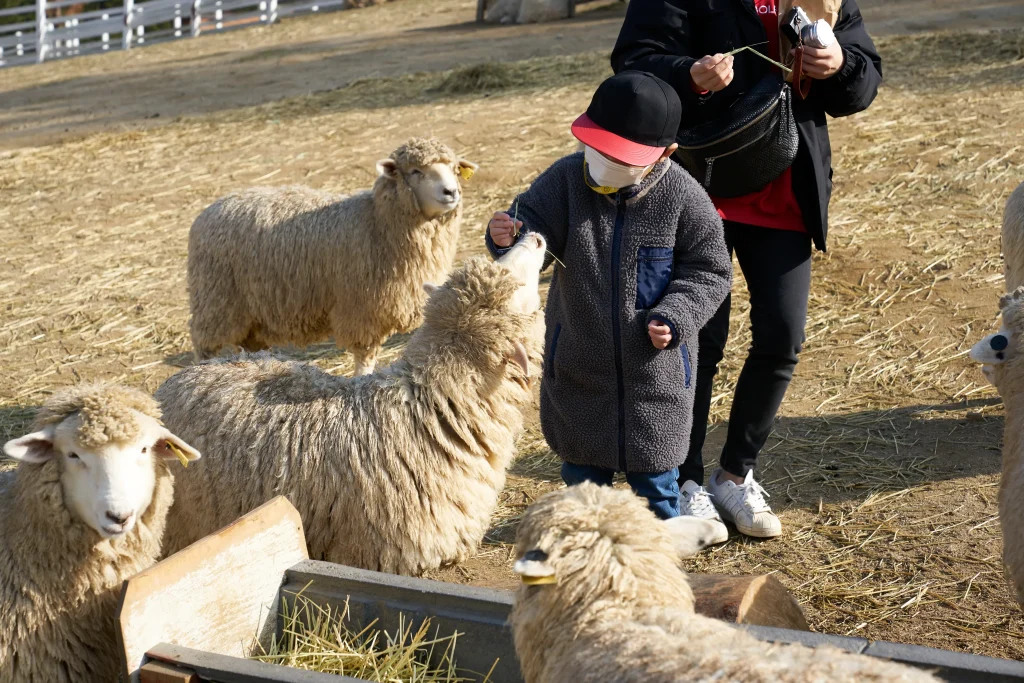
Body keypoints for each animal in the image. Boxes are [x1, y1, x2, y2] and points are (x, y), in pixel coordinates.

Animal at [185, 137, 479, 376]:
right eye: (416, 172)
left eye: (455, 170)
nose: (451, 192)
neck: (376, 222)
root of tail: (209, 210)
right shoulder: (362, 309)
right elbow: (364, 359)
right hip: (215, 301)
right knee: (205, 347)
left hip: (249, 311)